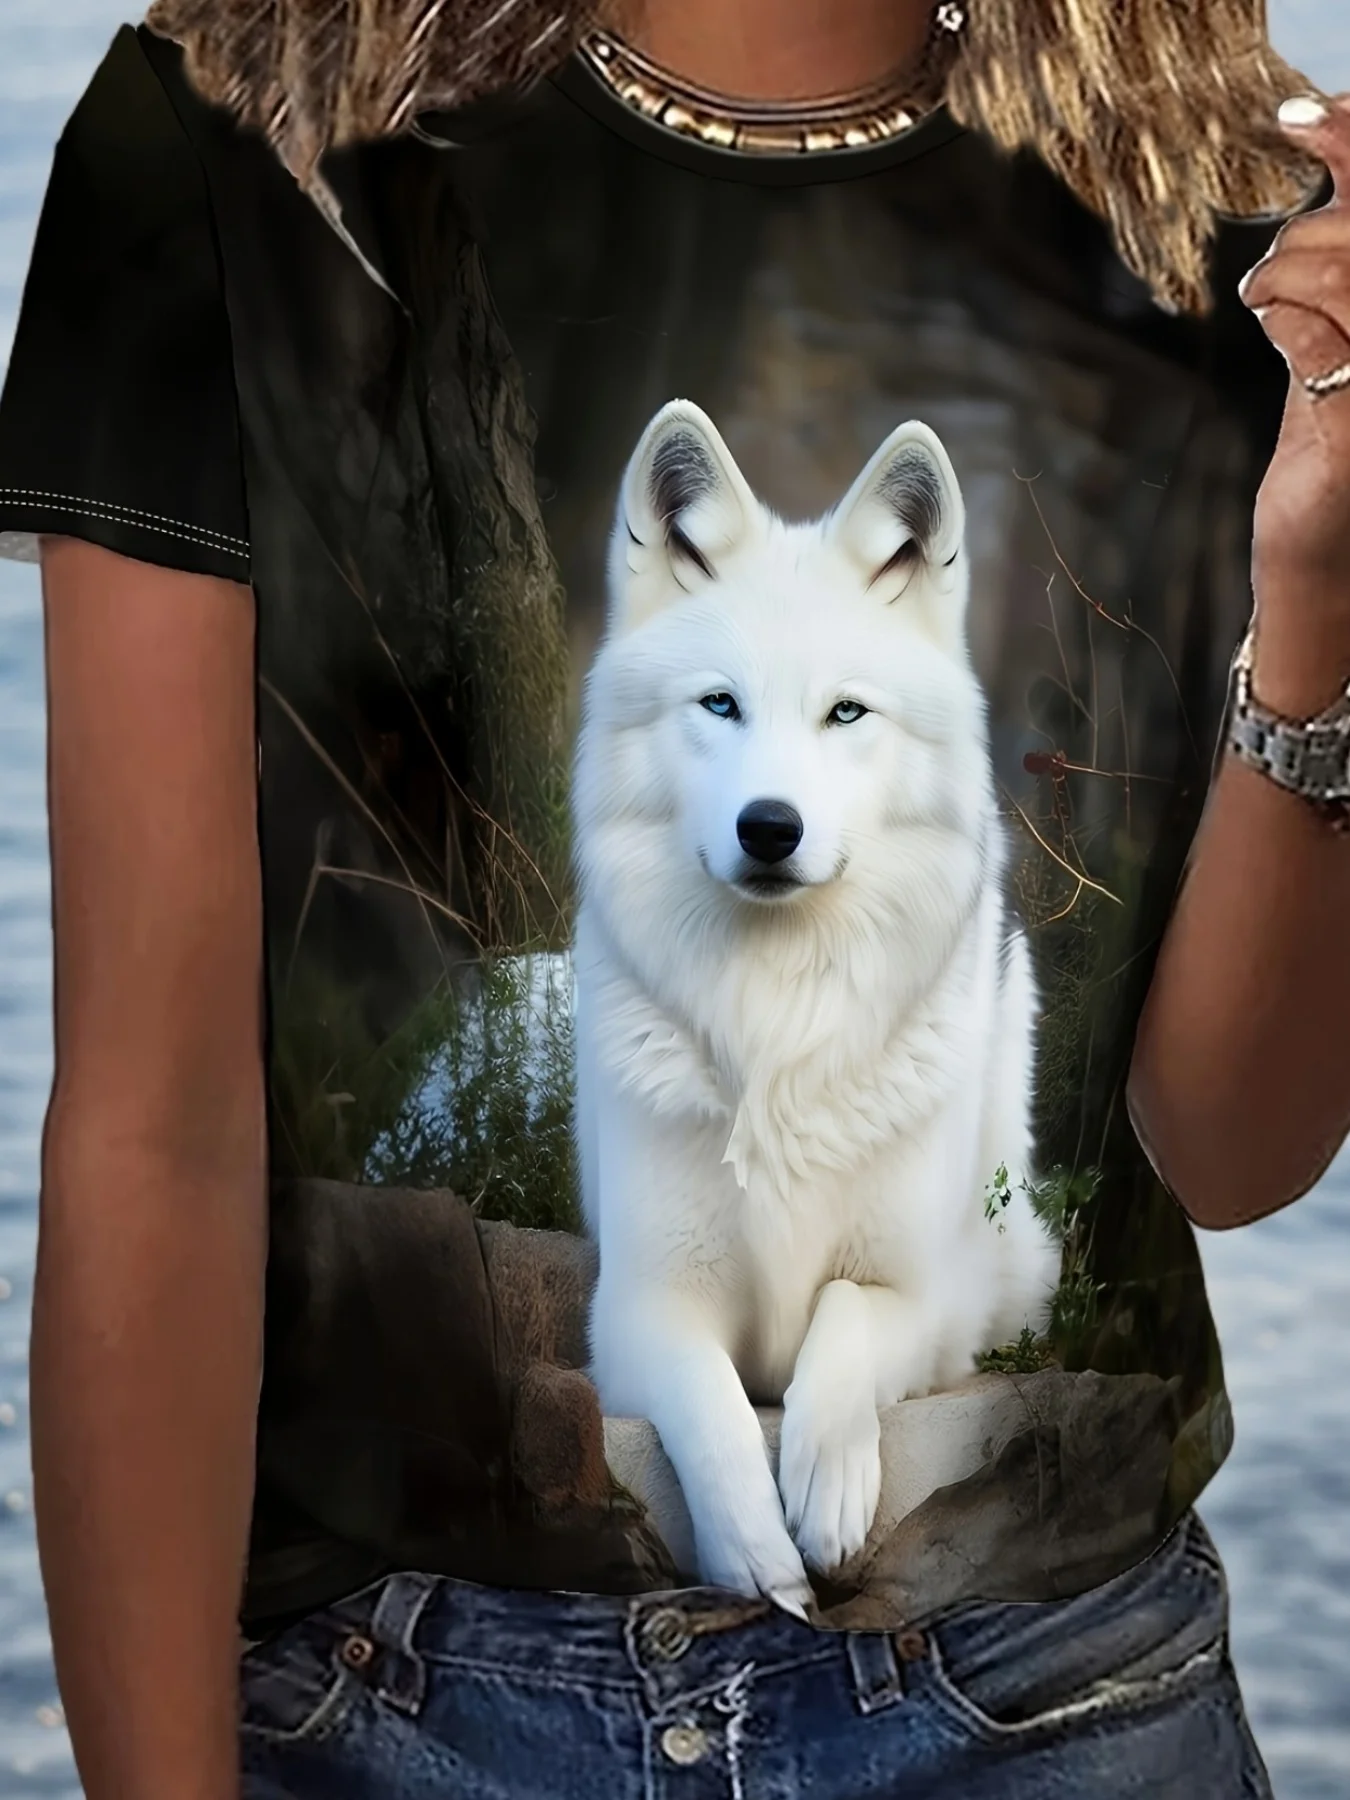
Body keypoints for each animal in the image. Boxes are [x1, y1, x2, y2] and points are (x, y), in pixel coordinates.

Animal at [571, 400, 1059, 1614]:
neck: (776, 1019)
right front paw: (753, 1553)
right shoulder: (636, 1309)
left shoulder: (925, 1297)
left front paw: (829, 1493)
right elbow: (710, 1401)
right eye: (720, 705)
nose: (770, 827)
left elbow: (842, 1325)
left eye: (846, 713)